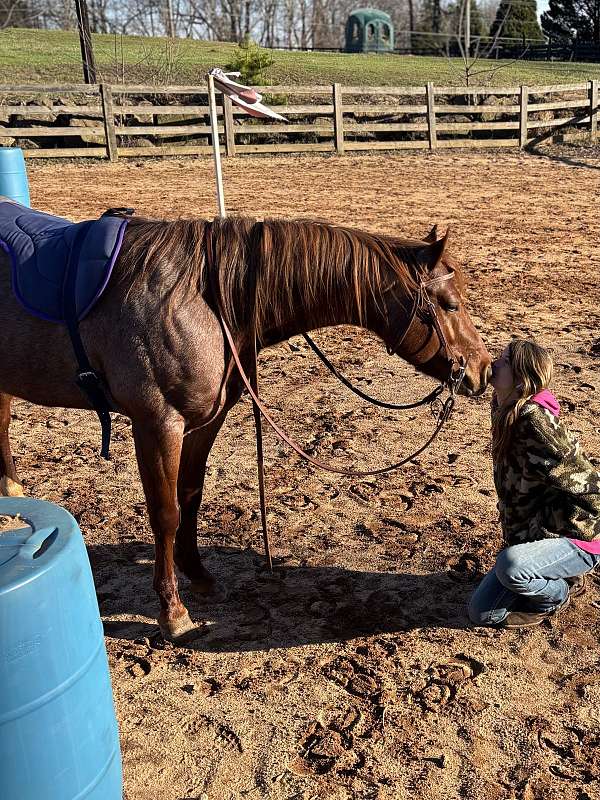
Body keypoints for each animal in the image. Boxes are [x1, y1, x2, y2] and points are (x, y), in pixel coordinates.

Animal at [0, 214, 491, 641]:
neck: (204, 298)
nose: (483, 370)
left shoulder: (204, 421)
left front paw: (198, 575)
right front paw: (172, 611)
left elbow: (190, 496)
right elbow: (165, 513)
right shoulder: (157, 423)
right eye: (450, 304)